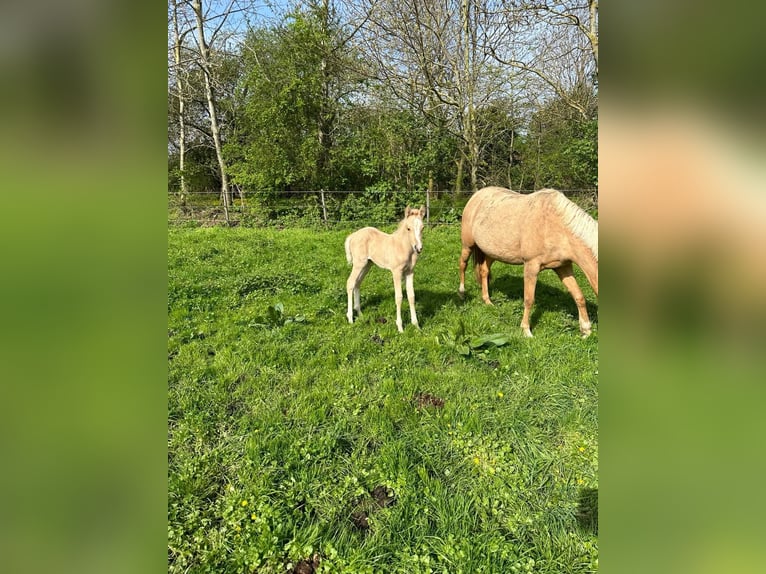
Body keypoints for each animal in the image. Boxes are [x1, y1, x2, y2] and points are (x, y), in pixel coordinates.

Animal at [460, 188, 596, 338]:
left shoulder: (563, 267)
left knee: (484, 271)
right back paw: (462, 293)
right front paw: (526, 331)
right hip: (468, 245)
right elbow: (529, 299)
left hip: (491, 251)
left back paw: (488, 301)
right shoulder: (531, 266)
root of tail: (477, 194)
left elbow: (578, 296)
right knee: (463, 265)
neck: (555, 226)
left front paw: (586, 330)